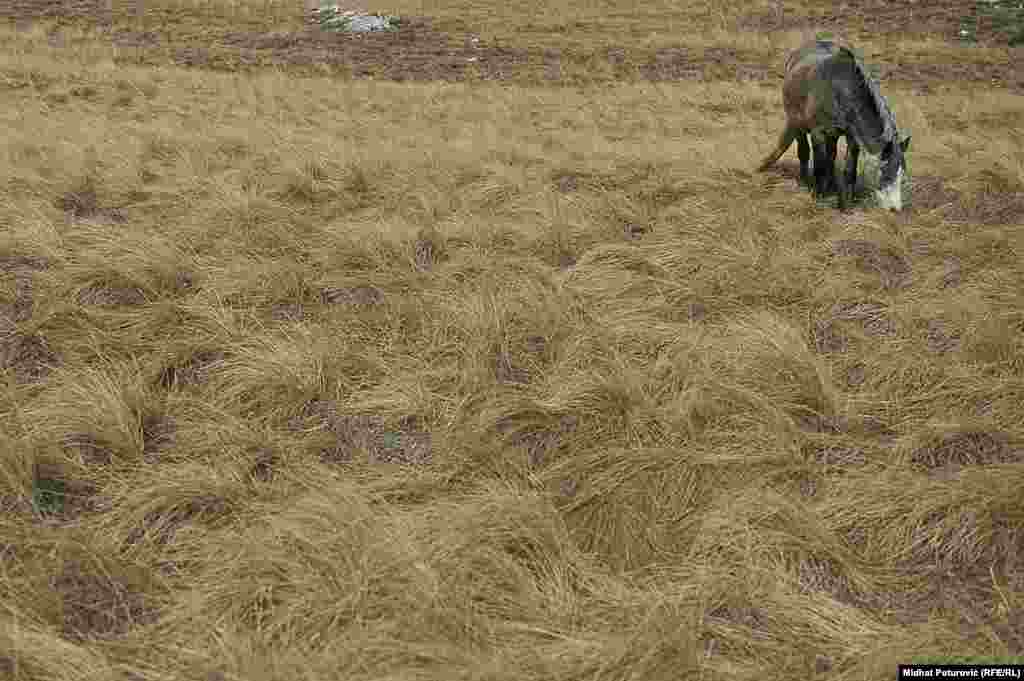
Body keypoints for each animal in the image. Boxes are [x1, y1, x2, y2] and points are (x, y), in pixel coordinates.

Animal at [757, 39, 917, 209]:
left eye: (902, 175)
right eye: (885, 171)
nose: (894, 208)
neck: (842, 91)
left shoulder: (852, 137)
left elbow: (849, 170)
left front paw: (846, 203)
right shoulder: (817, 133)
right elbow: (819, 166)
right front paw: (818, 196)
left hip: (831, 135)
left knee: (831, 155)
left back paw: (831, 185)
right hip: (797, 123)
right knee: (804, 152)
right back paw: (806, 182)